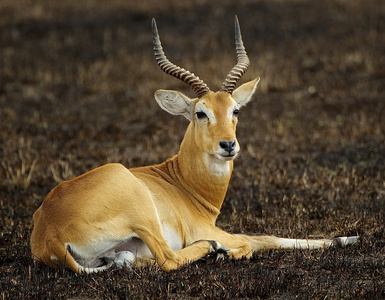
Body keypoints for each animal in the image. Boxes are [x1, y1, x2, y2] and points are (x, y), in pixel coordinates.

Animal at [30, 17, 356, 274]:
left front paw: (345, 238)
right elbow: (255, 241)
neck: (183, 184)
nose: (228, 145)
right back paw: (213, 248)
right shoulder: (207, 227)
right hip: (144, 215)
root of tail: (50, 233)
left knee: (128, 260)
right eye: (201, 112)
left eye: (235, 109)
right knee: (169, 259)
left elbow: (263, 236)